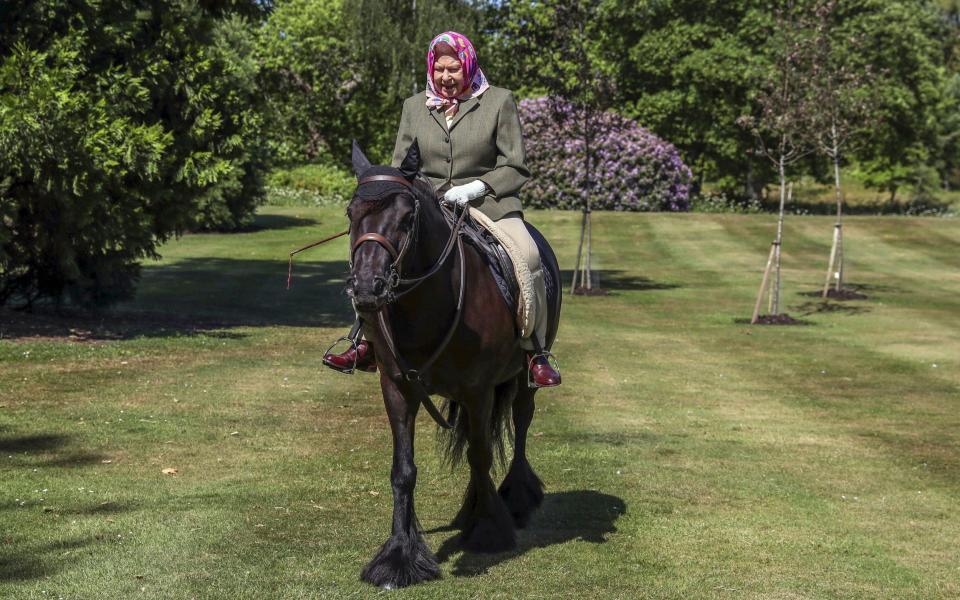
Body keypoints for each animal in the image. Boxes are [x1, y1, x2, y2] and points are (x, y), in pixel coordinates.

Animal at [344, 143, 564, 588]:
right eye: (351, 213)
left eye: (407, 218)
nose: (367, 289)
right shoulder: (397, 388)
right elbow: (403, 470)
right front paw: (399, 556)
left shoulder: (478, 390)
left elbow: (480, 456)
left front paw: (488, 530)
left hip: (524, 378)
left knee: (520, 423)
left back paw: (515, 498)